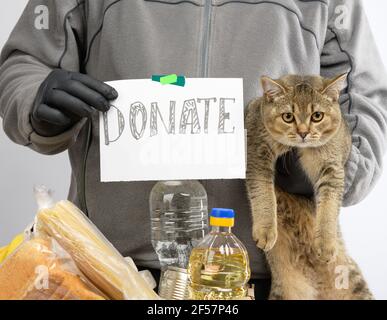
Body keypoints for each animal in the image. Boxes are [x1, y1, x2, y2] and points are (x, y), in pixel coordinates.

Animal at [247, 75, 374, 300]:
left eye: (317, 116)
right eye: (288, 116)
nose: (303, 133)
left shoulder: (332, 169)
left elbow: (329, 208)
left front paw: (325, 244)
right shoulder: (257, 152)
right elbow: (263, 193)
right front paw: (266, 230)